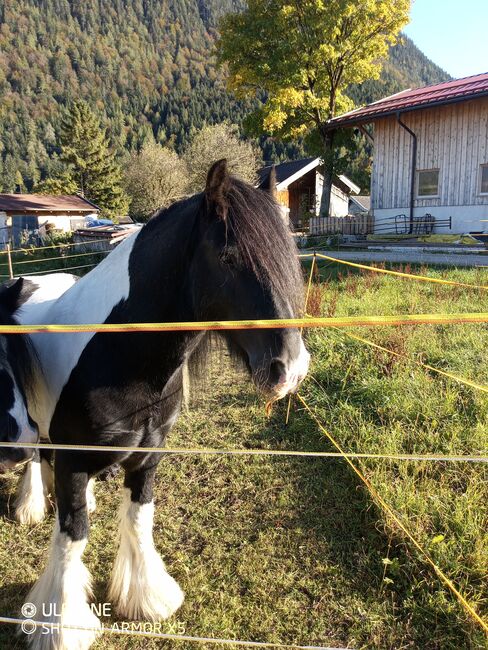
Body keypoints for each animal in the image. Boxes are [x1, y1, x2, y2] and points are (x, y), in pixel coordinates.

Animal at [5, 158, 308, 648]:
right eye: (228, 257)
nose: (290, 368)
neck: (116, 351)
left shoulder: (149, 454)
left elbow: (138, 519)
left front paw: (146, 598)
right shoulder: (73, 460)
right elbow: (72, 537)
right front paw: (62, 626)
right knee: (33, 455)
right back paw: (30, 506)